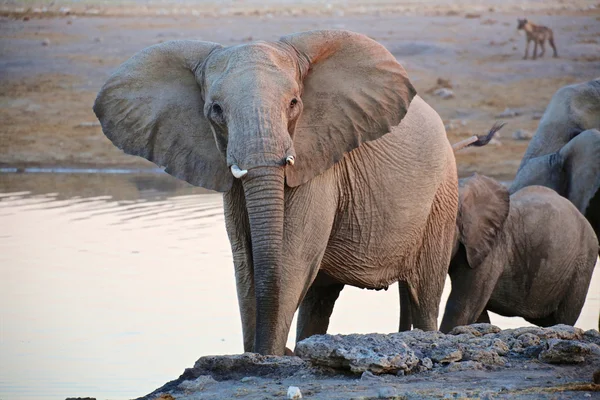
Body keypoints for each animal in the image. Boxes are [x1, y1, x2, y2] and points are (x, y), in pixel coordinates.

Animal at [95, 29, 460, 354]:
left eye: (295, 103)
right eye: (216, 110)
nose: (272, 352)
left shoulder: (318, 164)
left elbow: (291, 258)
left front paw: (266, 357)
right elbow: (246, 263)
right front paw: (257, 357)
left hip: (442, 196)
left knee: (424, 294)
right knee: (318, 300)